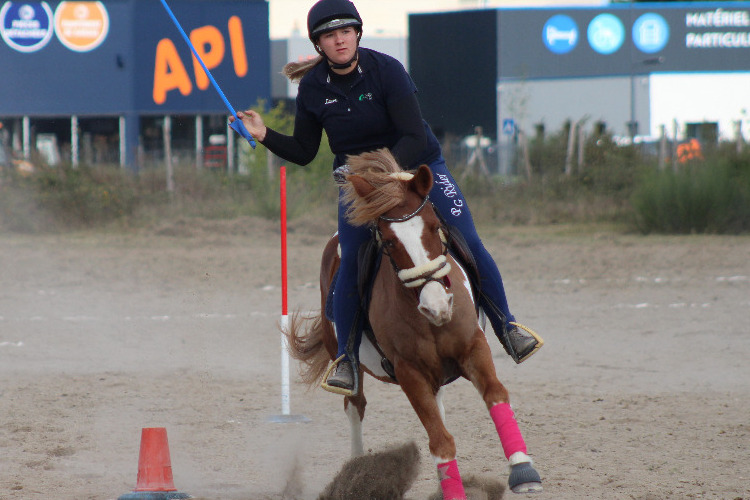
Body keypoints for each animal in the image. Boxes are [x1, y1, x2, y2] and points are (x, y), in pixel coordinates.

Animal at [286, 149, 542, 498]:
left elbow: (495, 394)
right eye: (389, 242)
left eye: (435, 227)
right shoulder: (410, 371)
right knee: (355, 406)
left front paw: (522, 469)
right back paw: (355, 473)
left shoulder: (473, 348)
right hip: (350, 363)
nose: (436, 305)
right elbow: (439, 438)